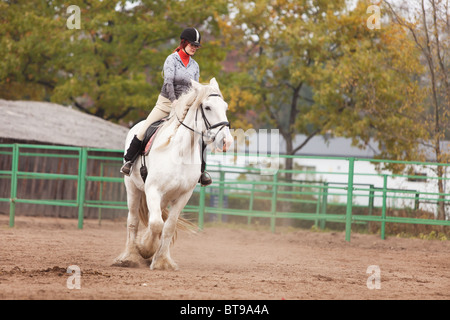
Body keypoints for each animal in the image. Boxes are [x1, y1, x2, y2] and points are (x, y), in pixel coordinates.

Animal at [114, 78, 232, 270]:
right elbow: (156, 224)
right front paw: (145, 249)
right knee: (133, 221)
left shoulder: (183, 195)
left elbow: (168, 226)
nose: (226, 141)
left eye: (225, 107)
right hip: (133, 189)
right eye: (207, 107)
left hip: (163, 198)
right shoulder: (153, 190)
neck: (180, 153)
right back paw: (129, 257)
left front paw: (161, 260)